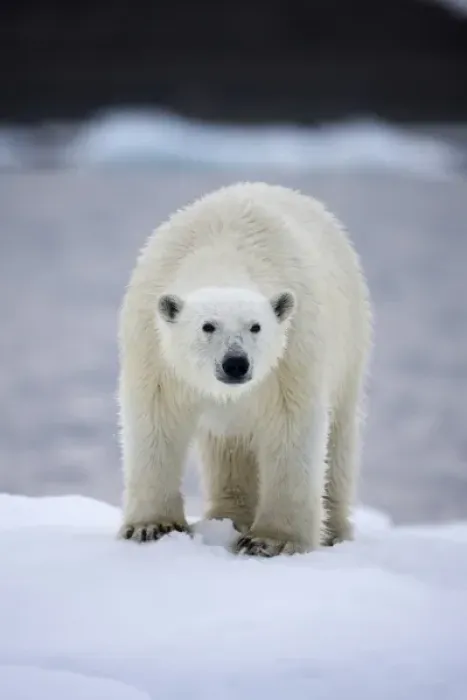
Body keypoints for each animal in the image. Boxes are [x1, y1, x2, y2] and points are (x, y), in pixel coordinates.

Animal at [117, 182, 372, 557]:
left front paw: (271, 540)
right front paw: (151, 526)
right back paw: (227, 517)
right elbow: (156, 421)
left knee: (338, 438)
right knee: (229, 448)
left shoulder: (293, 355)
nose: (235, 363)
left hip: (350, 343)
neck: (222, 253)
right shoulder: (154, 351)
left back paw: (334, 531)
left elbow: (291, 428)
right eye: (207, 326)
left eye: (256, 327)